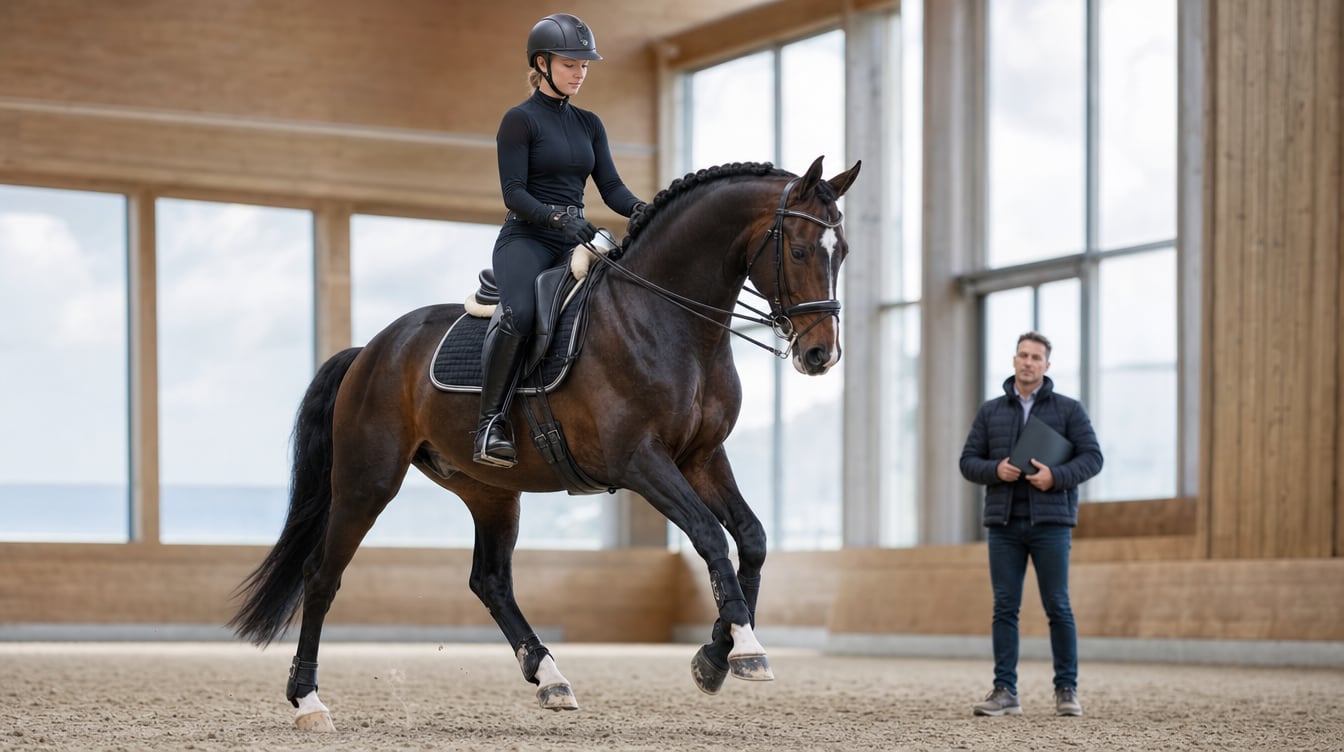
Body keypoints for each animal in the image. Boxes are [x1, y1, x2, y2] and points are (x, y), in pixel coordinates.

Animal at [228, 155, 862, 731]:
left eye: (844, 252)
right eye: (799, 250)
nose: (820, 355)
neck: (667, 319)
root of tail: (371, 350)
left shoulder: (701, 457)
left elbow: (750, 538)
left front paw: (717, 655)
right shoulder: (640, 461)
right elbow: (710, 535)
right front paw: (742, 649)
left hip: (489, 491)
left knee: (489, 581)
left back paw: (551, 676)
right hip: (368, 481)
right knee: (322, 575)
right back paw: (309, 701)